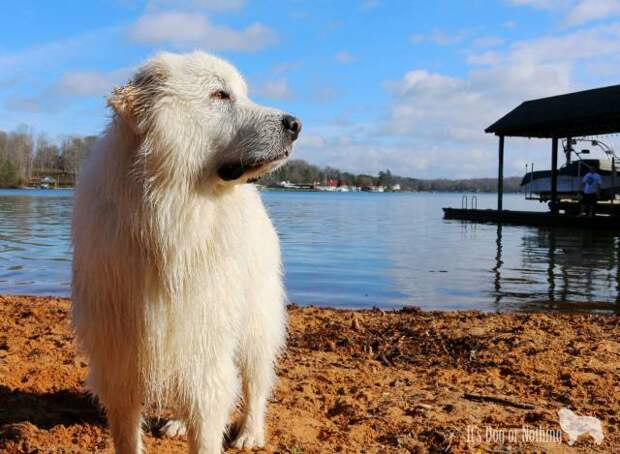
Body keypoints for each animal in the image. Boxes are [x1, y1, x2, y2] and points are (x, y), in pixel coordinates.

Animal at [71, 51, 302, 452]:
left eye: (241, 93)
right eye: (220, 94)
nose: (296, 124)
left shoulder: (205, 347)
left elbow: (208, 424)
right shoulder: (119, 357)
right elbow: (127, 434)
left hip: (256, 319)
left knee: (256, 381)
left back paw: (250, 432)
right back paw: (179, 423)